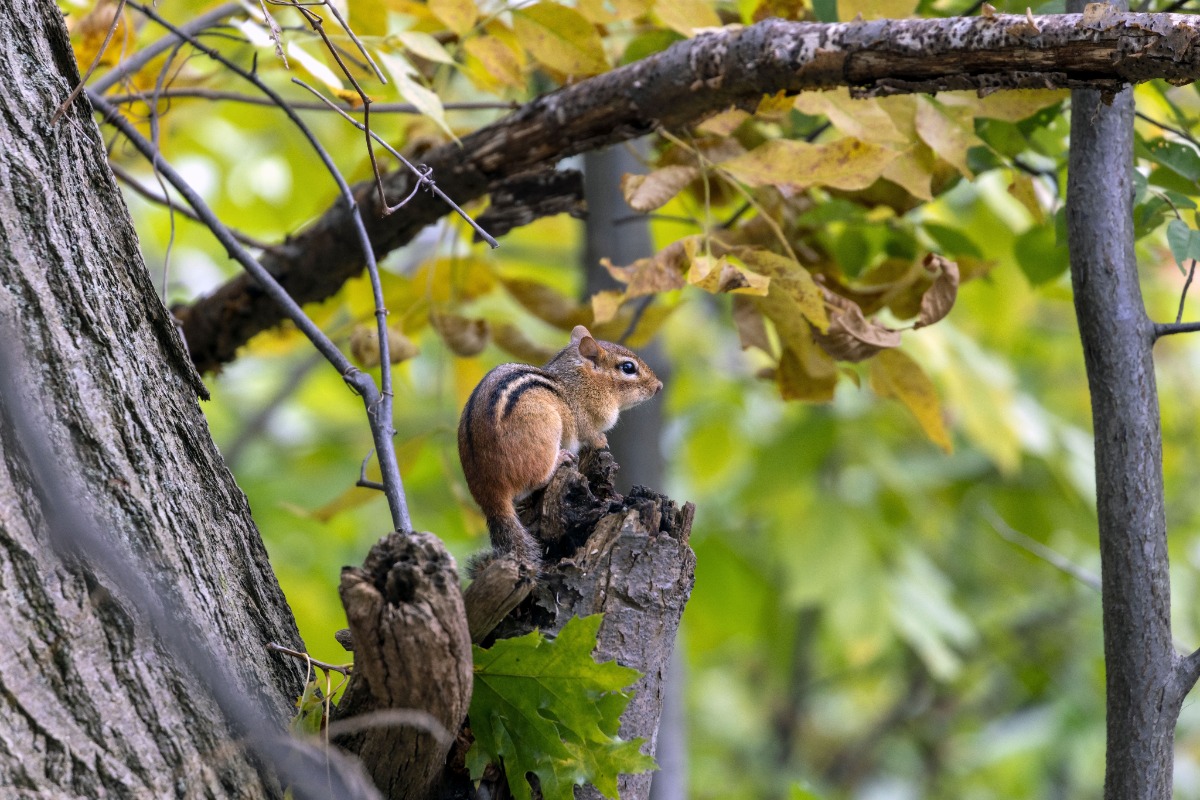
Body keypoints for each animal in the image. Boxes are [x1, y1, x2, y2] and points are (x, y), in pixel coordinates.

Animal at [457, 325, 662, 568]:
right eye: (628, 367)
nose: (659, 386)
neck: (579, 380)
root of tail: (491, 496)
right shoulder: (586, 420)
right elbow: (591, 435)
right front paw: (601, 441)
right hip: (547, 429)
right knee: (536, 479)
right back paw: (560, 459)